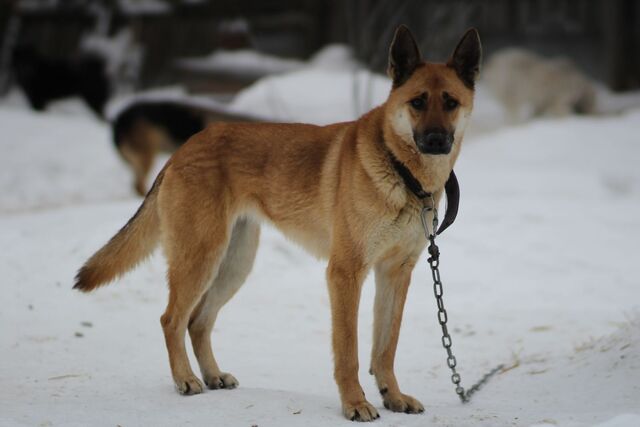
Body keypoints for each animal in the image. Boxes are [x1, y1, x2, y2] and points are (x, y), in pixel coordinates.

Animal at [75, 25, 480, 422]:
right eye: (417, 102)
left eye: (450, 102)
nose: (436, 140)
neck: (401, 173)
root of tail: (183, 149)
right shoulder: (345, 273)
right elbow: (348, 351)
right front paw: (354, 403)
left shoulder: (396, 273)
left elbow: (385, 349)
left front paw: (392, 397)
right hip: (201, 259)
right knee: (171, 319)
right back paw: (186, 379)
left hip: (234, 265)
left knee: (198, 322)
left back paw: (212, 375)